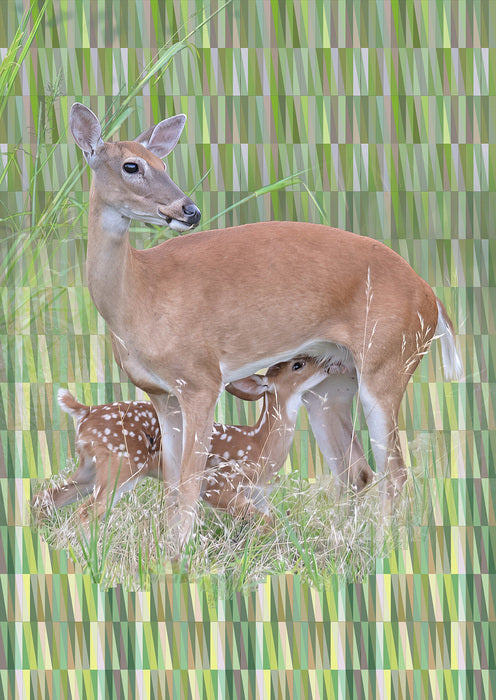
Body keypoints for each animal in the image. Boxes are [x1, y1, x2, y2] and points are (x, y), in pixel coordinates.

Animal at [33, 357, 361, 523]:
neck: (261, 446)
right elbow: (267, 522)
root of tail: (85, 412)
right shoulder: (220, 484)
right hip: (122, 462)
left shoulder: (259, 494)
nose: (328, 362)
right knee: (88, 510)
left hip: (90, 466)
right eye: (298, 365)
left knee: (44, 497)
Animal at [69, 103, 463, 551]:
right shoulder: (161, 393)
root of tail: (432, 298)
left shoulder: (202, 379)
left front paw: (179, 556)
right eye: (131, 165)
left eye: (163, 163)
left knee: (394, 472)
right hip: (331, 386)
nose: (189, 210)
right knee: (355, 471)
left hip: (388, 362)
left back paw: (381, 550)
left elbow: (188, 483)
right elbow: (171, 485)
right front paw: (168, 550)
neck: (139, 296)